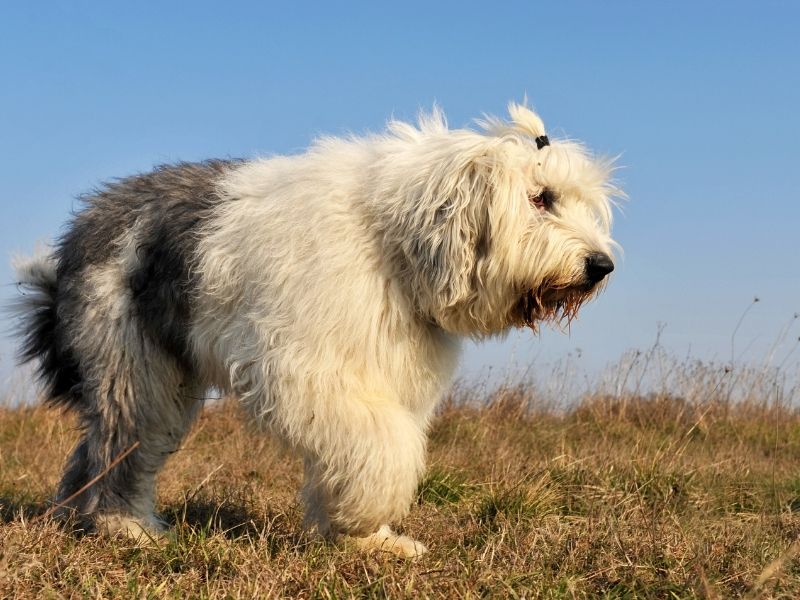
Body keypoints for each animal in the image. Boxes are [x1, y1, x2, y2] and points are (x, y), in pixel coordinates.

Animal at [12, 103, 620, 556]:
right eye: (540, 198)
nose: (601, 266)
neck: (392, 241)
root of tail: (83, 226)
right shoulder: (307, 368)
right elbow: (381, 442)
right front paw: (364, 519)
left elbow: (377, 442)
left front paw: (370, 540)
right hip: (133, 361)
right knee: (123, 441)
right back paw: (125, 527)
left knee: (99, 446)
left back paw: (76, 518)